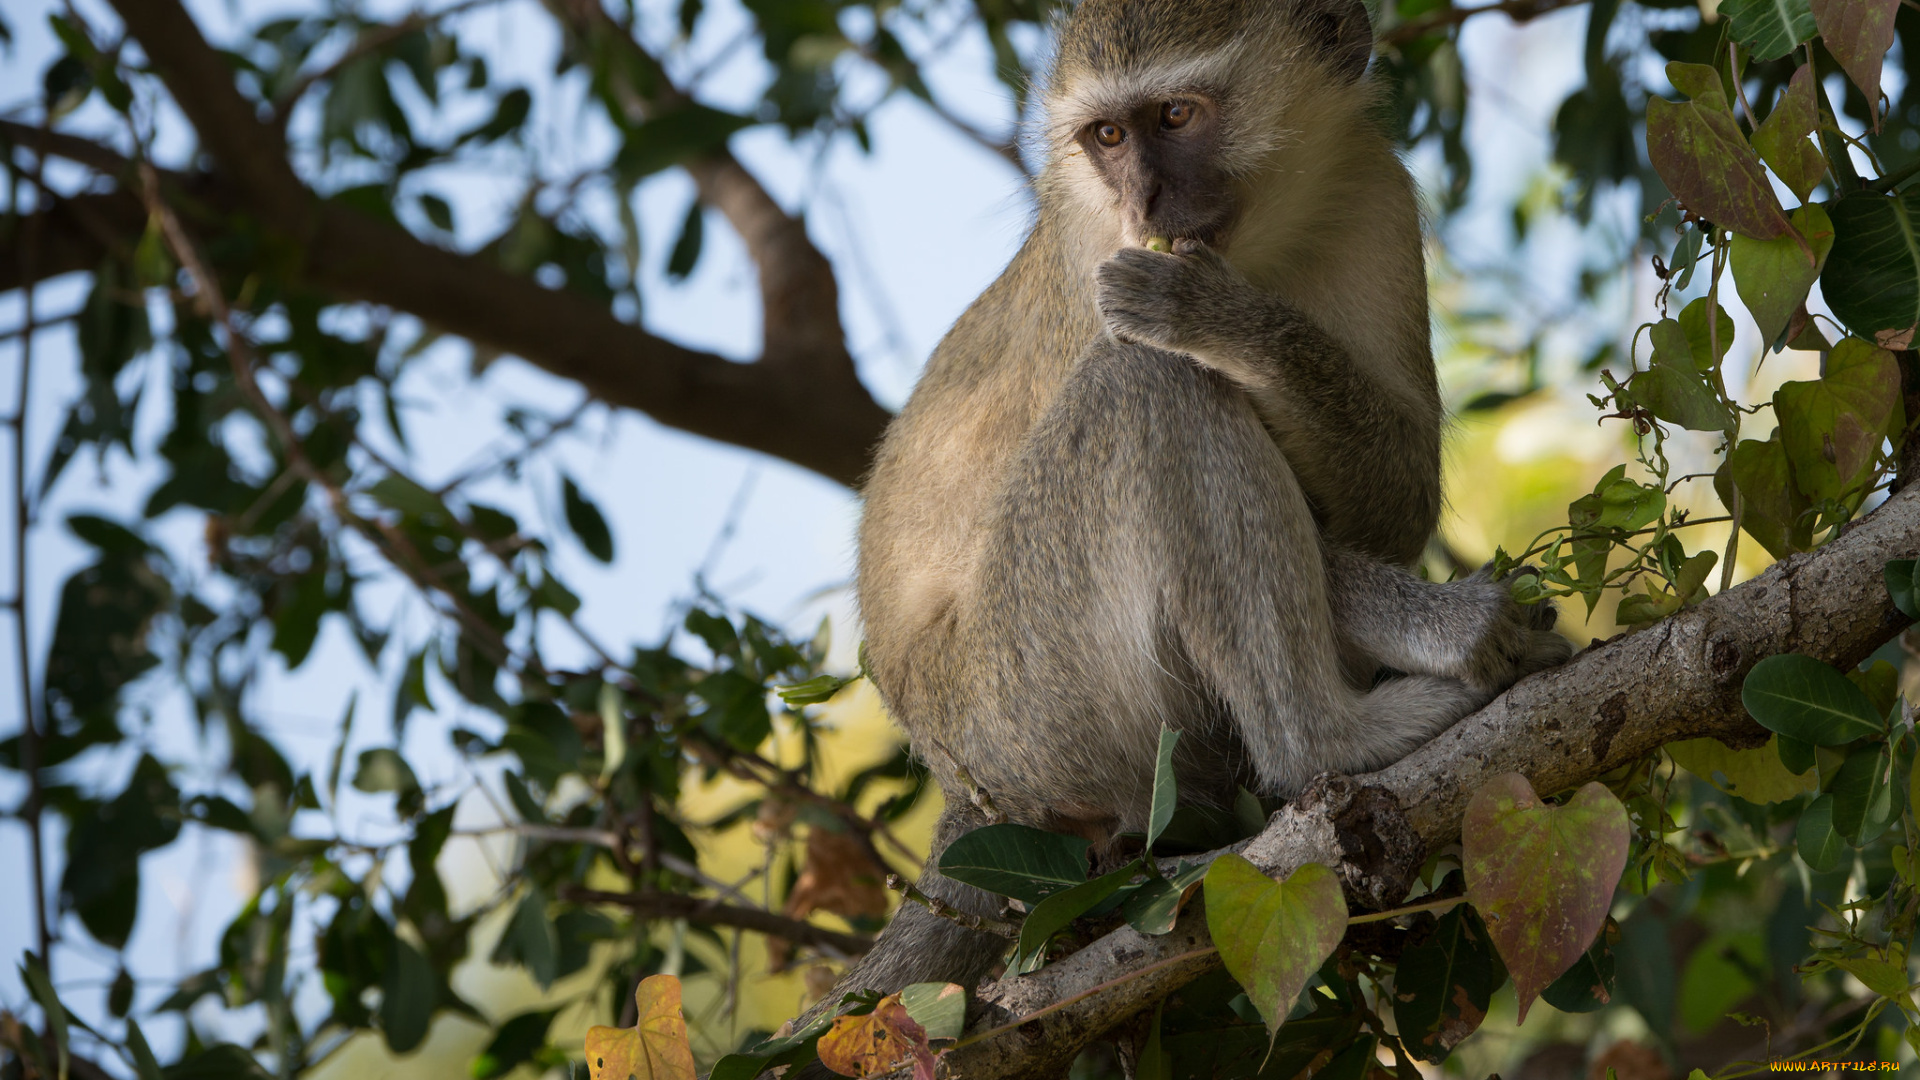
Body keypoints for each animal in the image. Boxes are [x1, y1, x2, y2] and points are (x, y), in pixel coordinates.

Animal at [817, 0, 1566, 1014]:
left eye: (1174, 116)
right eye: (1105, 137)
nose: (1145, 204)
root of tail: (962, 788)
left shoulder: (1377, 191)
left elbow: (1395, 501)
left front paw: (1224, 320)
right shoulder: (1095, 262)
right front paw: (1457, 630)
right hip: (1031, 697)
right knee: (1144, 383)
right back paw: (1330, 739)